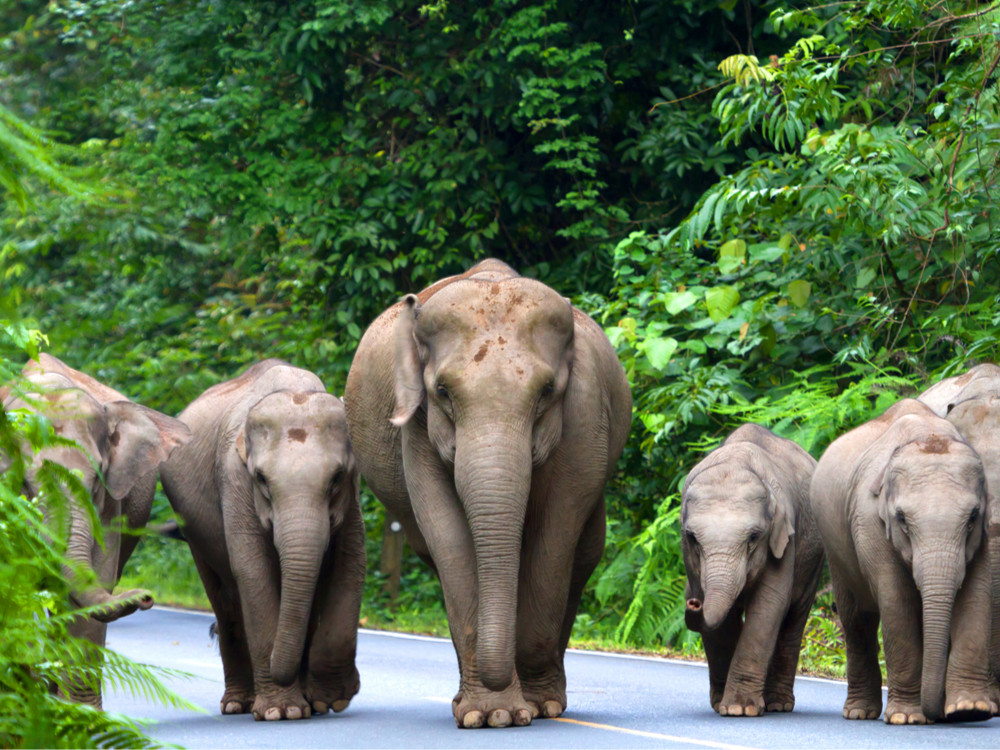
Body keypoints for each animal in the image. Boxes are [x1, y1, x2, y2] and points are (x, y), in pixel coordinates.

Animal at [0, 356, 190, 708]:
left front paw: (81, 715)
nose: (146, 596)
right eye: (26, 484)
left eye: (96, 479)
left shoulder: (111, 504)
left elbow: (94, 585)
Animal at [160, 362, 368, 724]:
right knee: (225, 601)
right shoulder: (233, 480)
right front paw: (280, 711)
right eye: (261, 479)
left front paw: (330, 699)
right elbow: (253, 571)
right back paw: (238, 704)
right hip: (193, 530)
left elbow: (351, 563)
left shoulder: (352, 496)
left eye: (336, 478)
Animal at [342, 258, 624, 728]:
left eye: (547, 392)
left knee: (584, 554)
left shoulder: (585, 416)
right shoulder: (417, 430)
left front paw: (535, 707)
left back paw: (548, 701)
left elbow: (556, 534)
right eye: (443, 392)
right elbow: (448, 536)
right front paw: (489, 715)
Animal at [684, 426, 824, 720]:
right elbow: (722, 620)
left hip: (814, 558)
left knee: (794, 618)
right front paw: (725, 705)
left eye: (753, 537)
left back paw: (778, 705)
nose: (693, 602)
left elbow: (769, 605)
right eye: (692, 538)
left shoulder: (785, 537)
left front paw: (739, 708)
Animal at [812, 402, 992, 724]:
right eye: (902, 519)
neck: (928, 434)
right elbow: (896, 601)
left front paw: (969, 710)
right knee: (856, 619)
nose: (940, 716)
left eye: (972, 517)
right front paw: (907, 718)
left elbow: (975, 597)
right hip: (835, 548)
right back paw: (859, 713)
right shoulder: (869, 522)